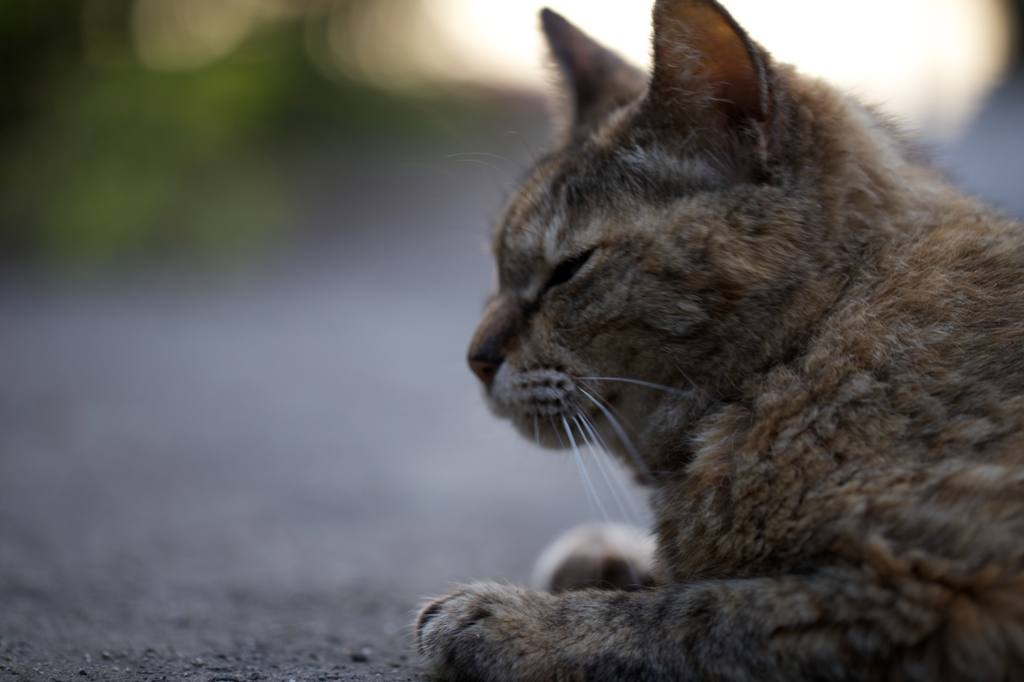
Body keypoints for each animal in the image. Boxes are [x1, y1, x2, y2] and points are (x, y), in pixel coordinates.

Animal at [411, 1, 1024, 675]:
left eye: (567, 269)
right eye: (497, 267)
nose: (476, 359)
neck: (803, 349)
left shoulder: (934, 600)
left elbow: (688, 616)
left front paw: (507, 621)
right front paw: (612, 556)